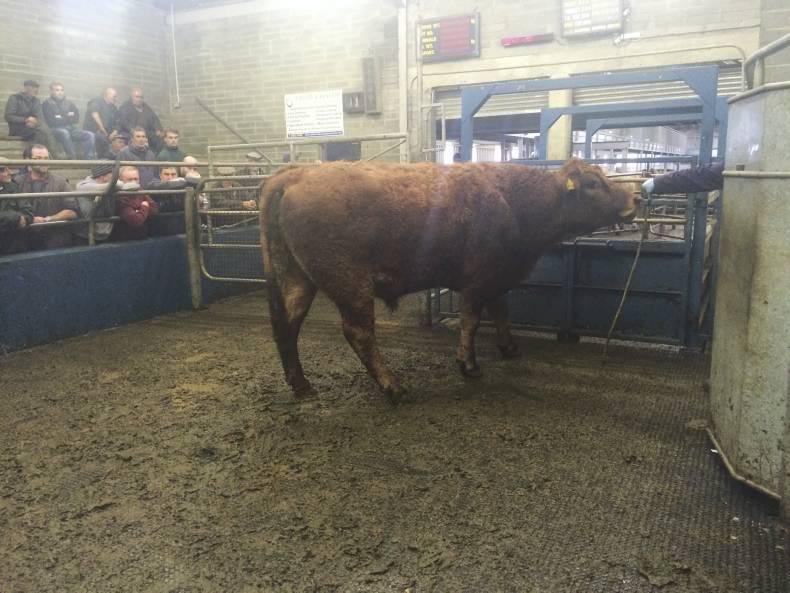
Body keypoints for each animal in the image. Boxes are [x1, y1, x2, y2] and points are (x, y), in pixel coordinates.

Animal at [259, 158, 637, 403]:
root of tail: (295, 174)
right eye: (592, 184)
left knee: (287, 326)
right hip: (350, 285)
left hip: (298, 280)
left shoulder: (496, 277)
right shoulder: (478, 279)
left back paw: (301, 384)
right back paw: (392, 386)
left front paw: (509, 347)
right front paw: (468, 365)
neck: (512, 199)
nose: (635, 198)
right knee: (359, 333)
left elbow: (501, 311)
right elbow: (471, 321)